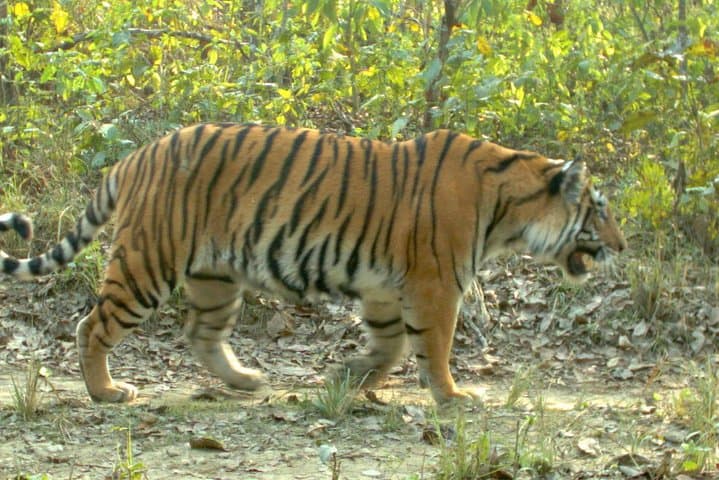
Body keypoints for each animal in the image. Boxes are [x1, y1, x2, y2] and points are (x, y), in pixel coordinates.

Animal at [0, 123, 626, 405]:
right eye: (599, 212)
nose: (622, 246)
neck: (511, 211)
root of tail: (136, 156)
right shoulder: (435, 284)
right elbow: (435, 344)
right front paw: (453, 397)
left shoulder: (385, 286)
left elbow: (390, 345)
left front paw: (348, 376)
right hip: (149, 263)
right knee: (92, 325)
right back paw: (107, 391)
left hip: (215, 276)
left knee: (201, 334)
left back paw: (246, 380)